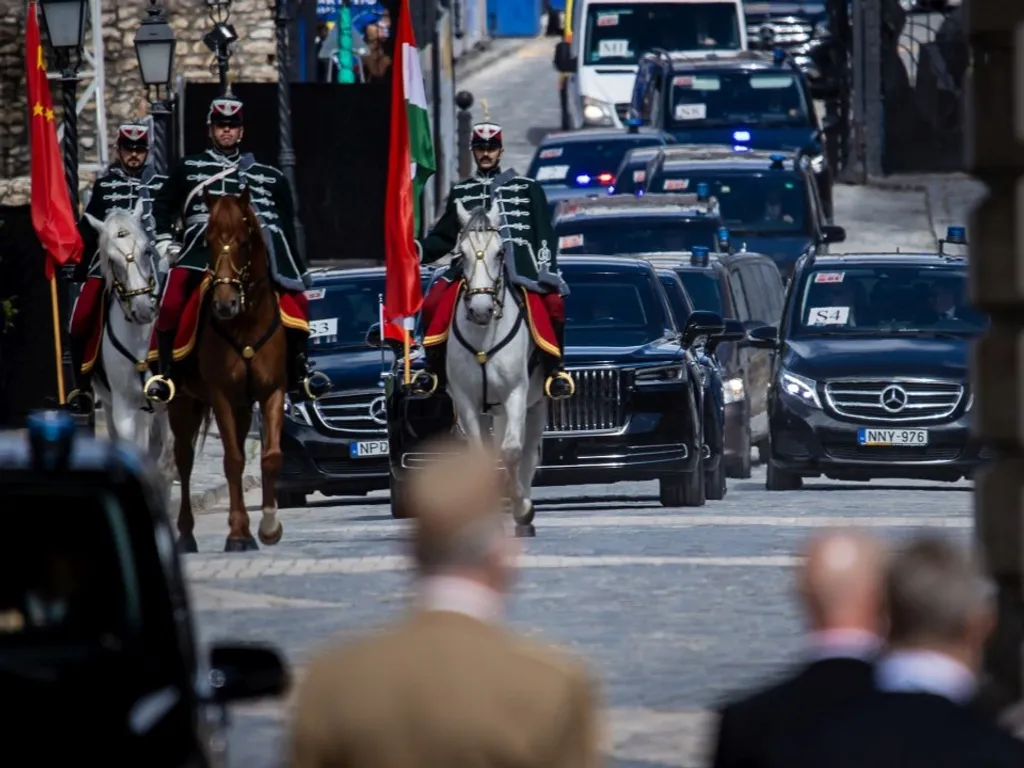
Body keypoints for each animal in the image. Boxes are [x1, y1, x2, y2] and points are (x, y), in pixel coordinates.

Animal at [169, 189, 286, 557]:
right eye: (207, 240)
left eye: (243, 241)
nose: (224, 304)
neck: (246, 324)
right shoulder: (220, 395)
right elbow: (232, 460)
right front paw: (237, 533)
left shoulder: (272, 391)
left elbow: (270, 456)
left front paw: (268, 527)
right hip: (182, 404)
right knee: (184, 460)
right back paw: (186, 535)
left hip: (242, 408)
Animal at [450, 201, 548, 536]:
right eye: (461, 254)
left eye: (499, 253)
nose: (481, 309)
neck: (483, 336)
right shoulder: (466, 400)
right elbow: (482, 458)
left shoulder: (515, 394)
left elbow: (513, 451)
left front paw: (522, 509)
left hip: (532, 405)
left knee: (527, 452)